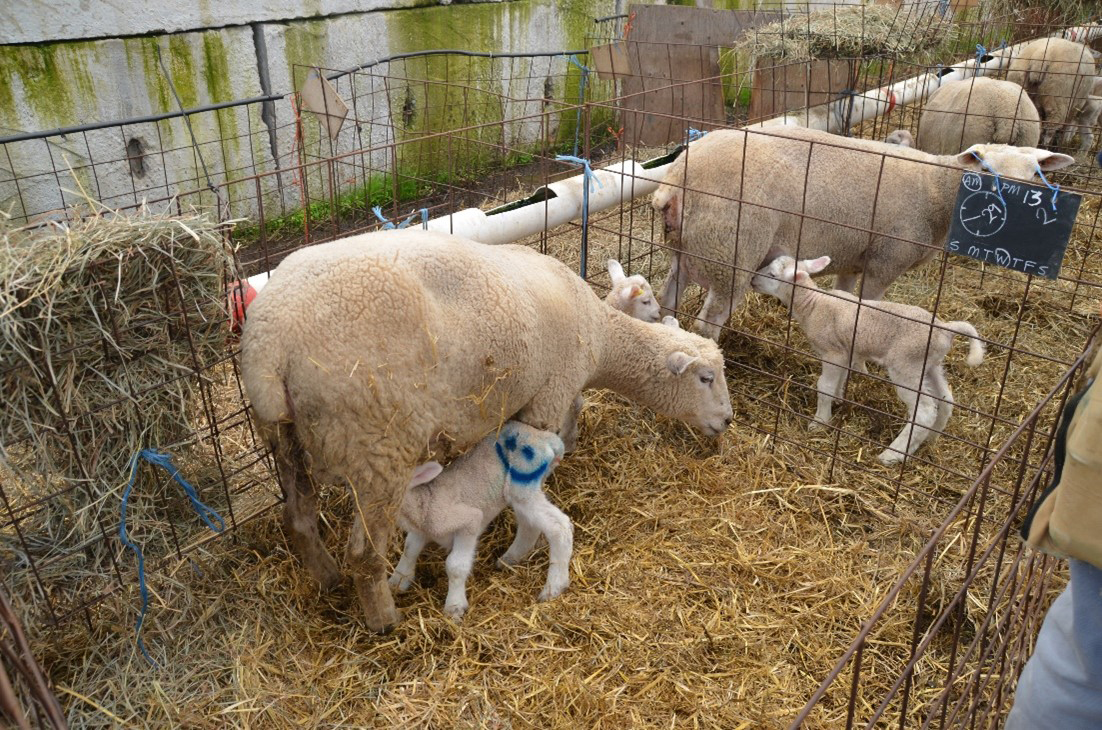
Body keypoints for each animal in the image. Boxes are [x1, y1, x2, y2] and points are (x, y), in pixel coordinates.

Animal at [392, 423, 573, 621]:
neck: (425, 501)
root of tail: (547, 438)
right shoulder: (422, 530)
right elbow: (409, 549)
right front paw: (397, 581)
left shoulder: (469, 521)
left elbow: (455, 565)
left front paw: (454, 607)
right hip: (519, 491)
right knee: (529, 525)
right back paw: (508, 560)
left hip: (524, 478)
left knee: (559, 526)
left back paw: (554, 587)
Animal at [647, 125, 1071, 339]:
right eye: (985, 171)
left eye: (1037, 174)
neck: (936, 188)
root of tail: (677, 178)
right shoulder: (886, 262)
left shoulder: (853, 258)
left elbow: (846, 299)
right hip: (730, 252)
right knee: (709, 322)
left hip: (691, 250)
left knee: (667, 299)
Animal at [753, 254, 987, 465]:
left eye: (773, 275)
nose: (753, 279)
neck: (813, 304)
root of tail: (944, 329)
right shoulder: (847, 350)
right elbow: (841, 378)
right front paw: (839, 399)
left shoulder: (833, 352)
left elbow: (824, 386)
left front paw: (820, 421)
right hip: (930, 365)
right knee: (946, 400)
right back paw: (930, 439)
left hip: (906, 365)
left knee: (925, 411)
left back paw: (893, 454)